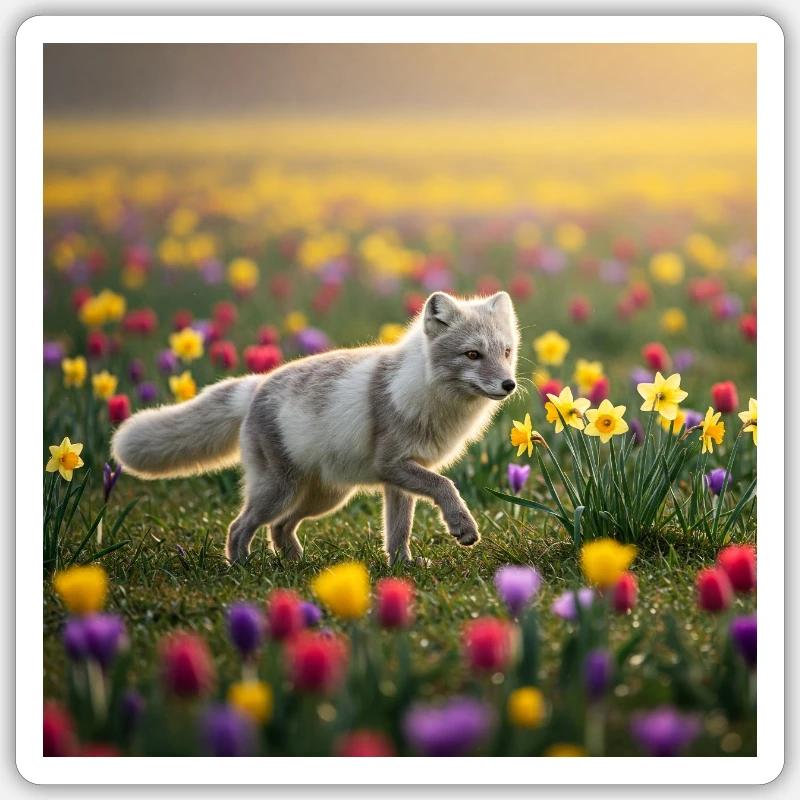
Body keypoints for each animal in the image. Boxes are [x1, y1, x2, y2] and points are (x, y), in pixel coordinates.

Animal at [111, 291, 520, 565]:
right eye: (472, 354)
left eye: (506, 352)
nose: (509, 385)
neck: (426, 390)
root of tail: (258, 384)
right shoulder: (394, 466)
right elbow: (445, 486)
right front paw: (462, 527)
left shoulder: (397, 480)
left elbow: (398, 531)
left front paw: (402, 566)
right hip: (279, 491)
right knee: (239, 526)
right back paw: (241, 567)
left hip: (325, 497)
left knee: (279, 528)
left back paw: (294, 563)